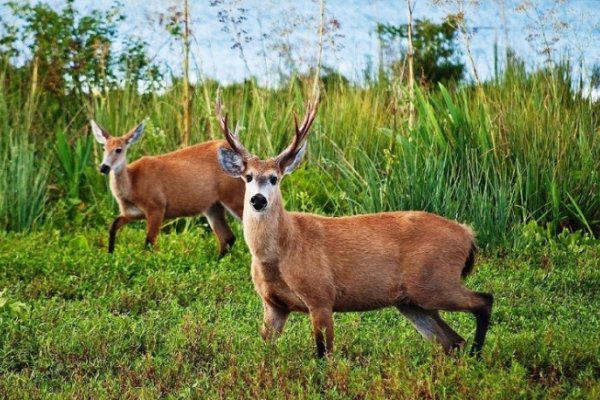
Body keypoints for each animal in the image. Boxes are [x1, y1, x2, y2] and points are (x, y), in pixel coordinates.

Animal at [90, 119, 245, 256]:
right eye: (103, 148)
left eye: (119, 149)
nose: (103, 167)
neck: (133, 186)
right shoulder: (131, 213)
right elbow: (113, 226)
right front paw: (110, 254)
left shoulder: (157, 207)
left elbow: (149, 242)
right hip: (212, 206)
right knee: (228, 238)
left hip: (234, 196)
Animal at [214, 97, 492, 360]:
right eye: (248, 177)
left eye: (274, 178)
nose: (258, 200)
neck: (282, 250)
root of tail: (467, 234)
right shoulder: (273, 305)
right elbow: (265, 350)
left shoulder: (321, 296)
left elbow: (323, 354)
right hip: (413, 301)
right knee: (452, 341)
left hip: (435, 282)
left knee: (484, 301)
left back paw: (477, 355)